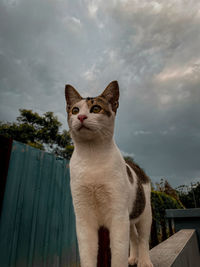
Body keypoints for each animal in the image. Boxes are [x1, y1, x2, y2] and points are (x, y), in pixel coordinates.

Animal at [65, 81, 152, 267]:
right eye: (75, 110)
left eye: (96, 108)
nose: (81, 117)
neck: (92, 155)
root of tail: (135, 165)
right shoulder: (84, 217)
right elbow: (87, 254)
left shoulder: (118, 215)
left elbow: (118, 253)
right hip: (129, 218)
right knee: (134, 238)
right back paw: (133, 258)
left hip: (144, 213)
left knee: (143, 238)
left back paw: (144, 261)